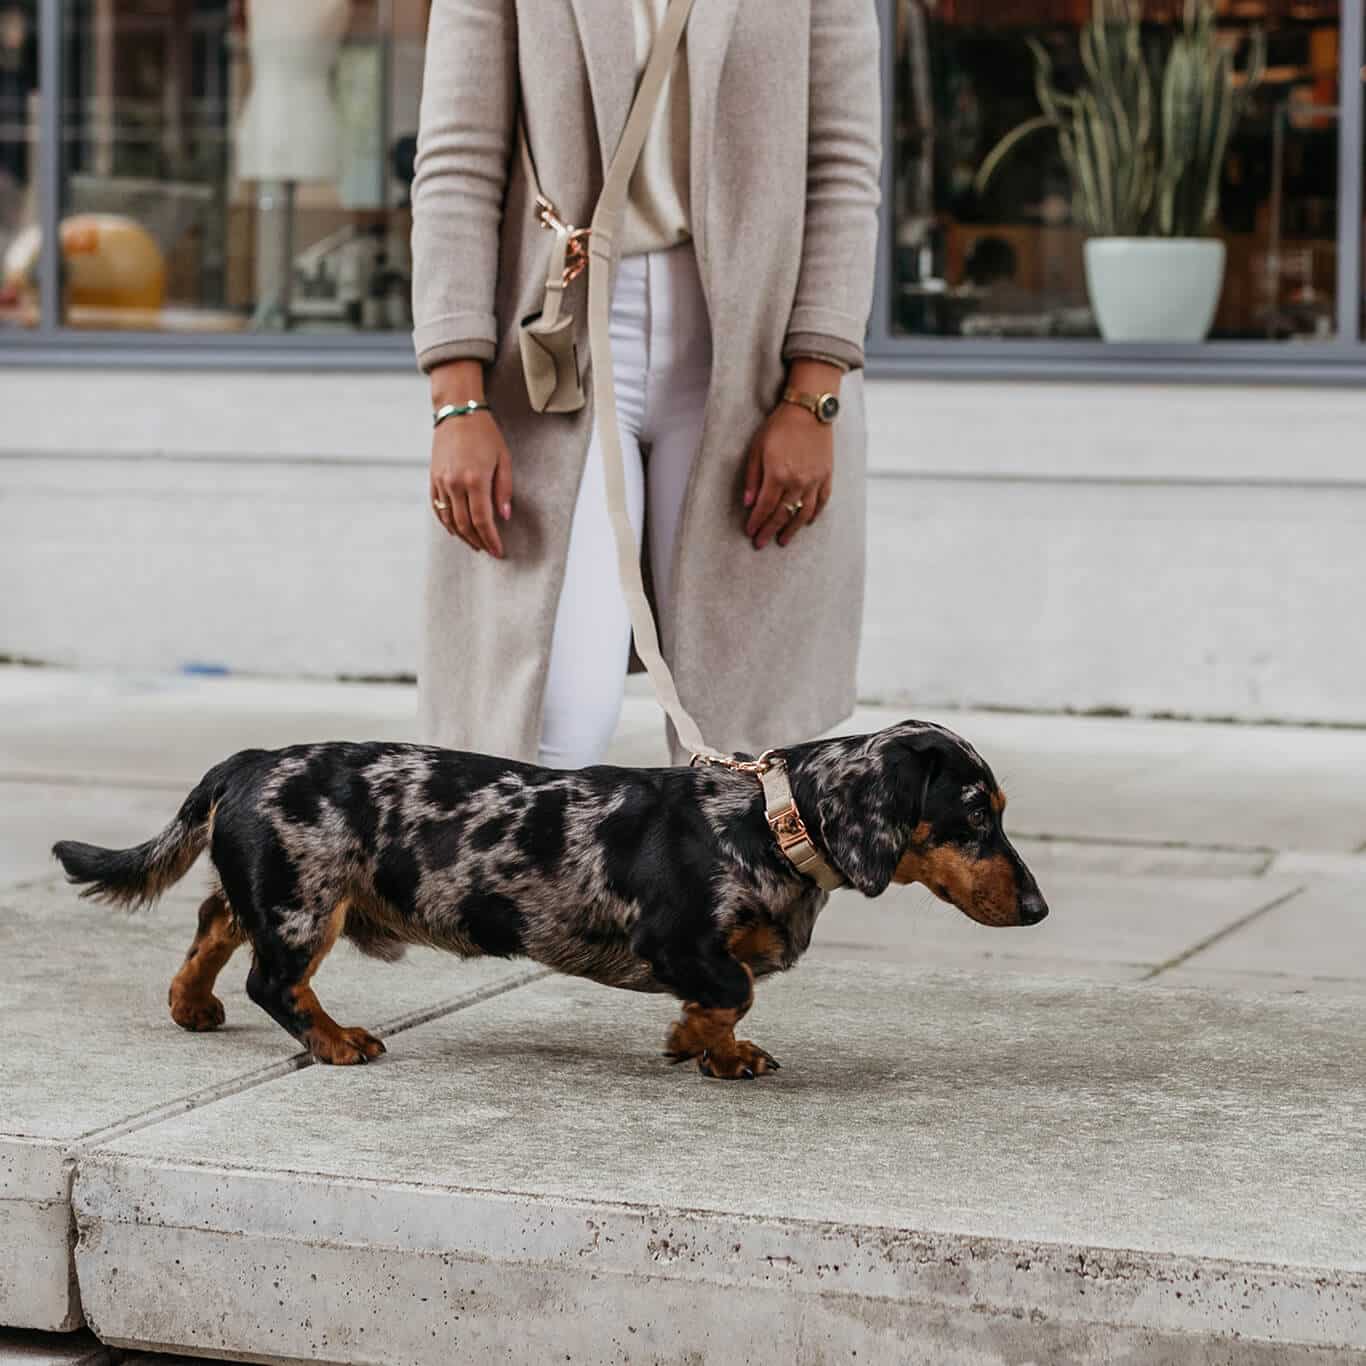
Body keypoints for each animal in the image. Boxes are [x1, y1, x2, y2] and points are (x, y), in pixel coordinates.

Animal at [53, 721, 1043, 1081]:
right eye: (975, 815)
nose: (1038, 913)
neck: (768, 818)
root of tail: (250, 759)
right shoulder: (680, 941)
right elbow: (730, 990)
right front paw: (699, 1042)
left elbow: (733, 997)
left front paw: (717, 1051)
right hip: (309, 901)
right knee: (275, 981)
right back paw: (337, 1041)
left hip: (282, 891)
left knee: (215, 923)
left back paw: (192, 1005)